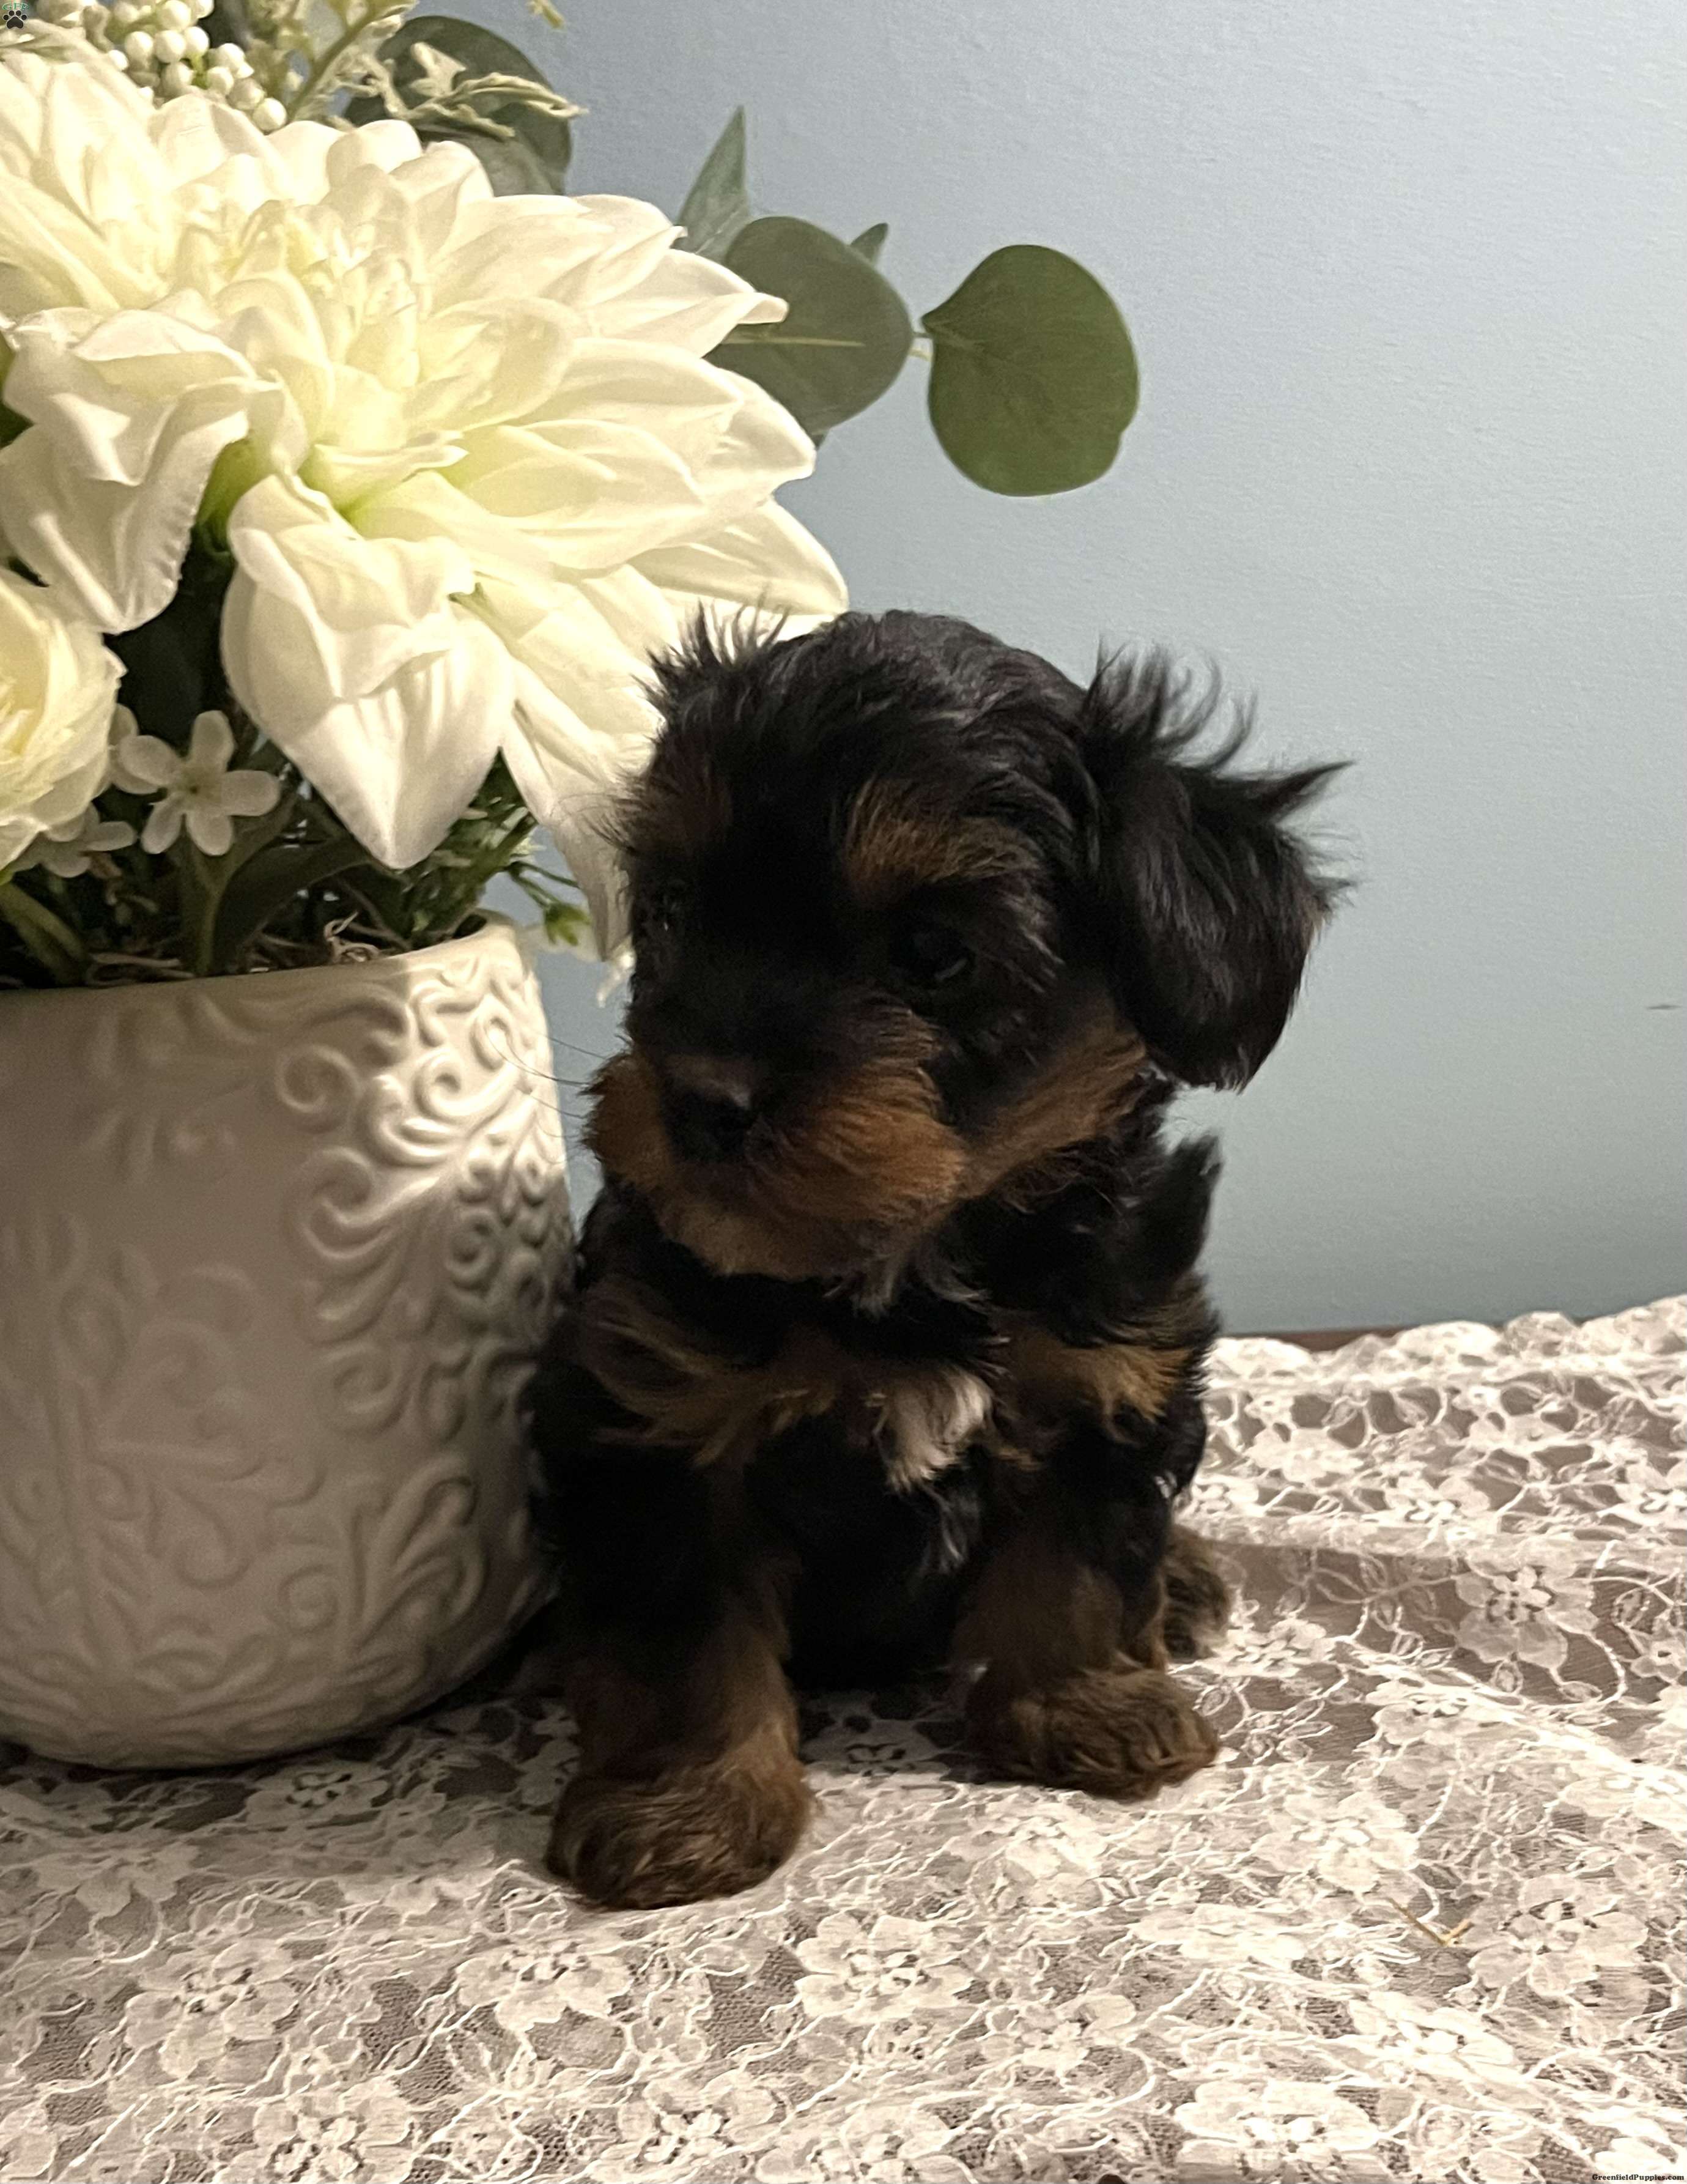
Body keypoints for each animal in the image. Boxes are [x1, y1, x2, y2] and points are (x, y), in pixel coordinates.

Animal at [528, 609, 1340, 1908]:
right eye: (669, 914)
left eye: (931, 955)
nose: (700, 1099)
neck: (913, 1258)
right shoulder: (654, 1425)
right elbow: (679, 1635)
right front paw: (687, 1810)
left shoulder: (1103, 1376)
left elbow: (1078, 1560)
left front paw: (1085, 1709)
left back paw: (1185, 1579)